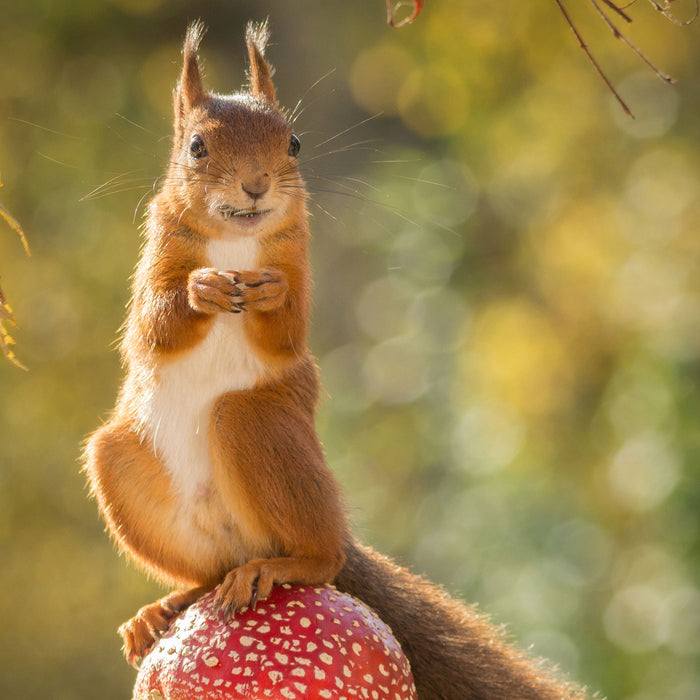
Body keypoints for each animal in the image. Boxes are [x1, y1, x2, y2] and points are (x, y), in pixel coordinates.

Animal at [85, 21, 592, 700]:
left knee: (318, 555)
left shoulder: (299, 262)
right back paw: (166, 607)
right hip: (121, 466)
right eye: (196, 147)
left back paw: (281, 565)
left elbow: (287, 331)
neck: (237, 242)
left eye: (294, 143)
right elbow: (154, 326)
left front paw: (268, 296)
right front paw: (200, 290)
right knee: (208, 571)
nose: (256, 184)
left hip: (259, 426)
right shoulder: (155, 259)